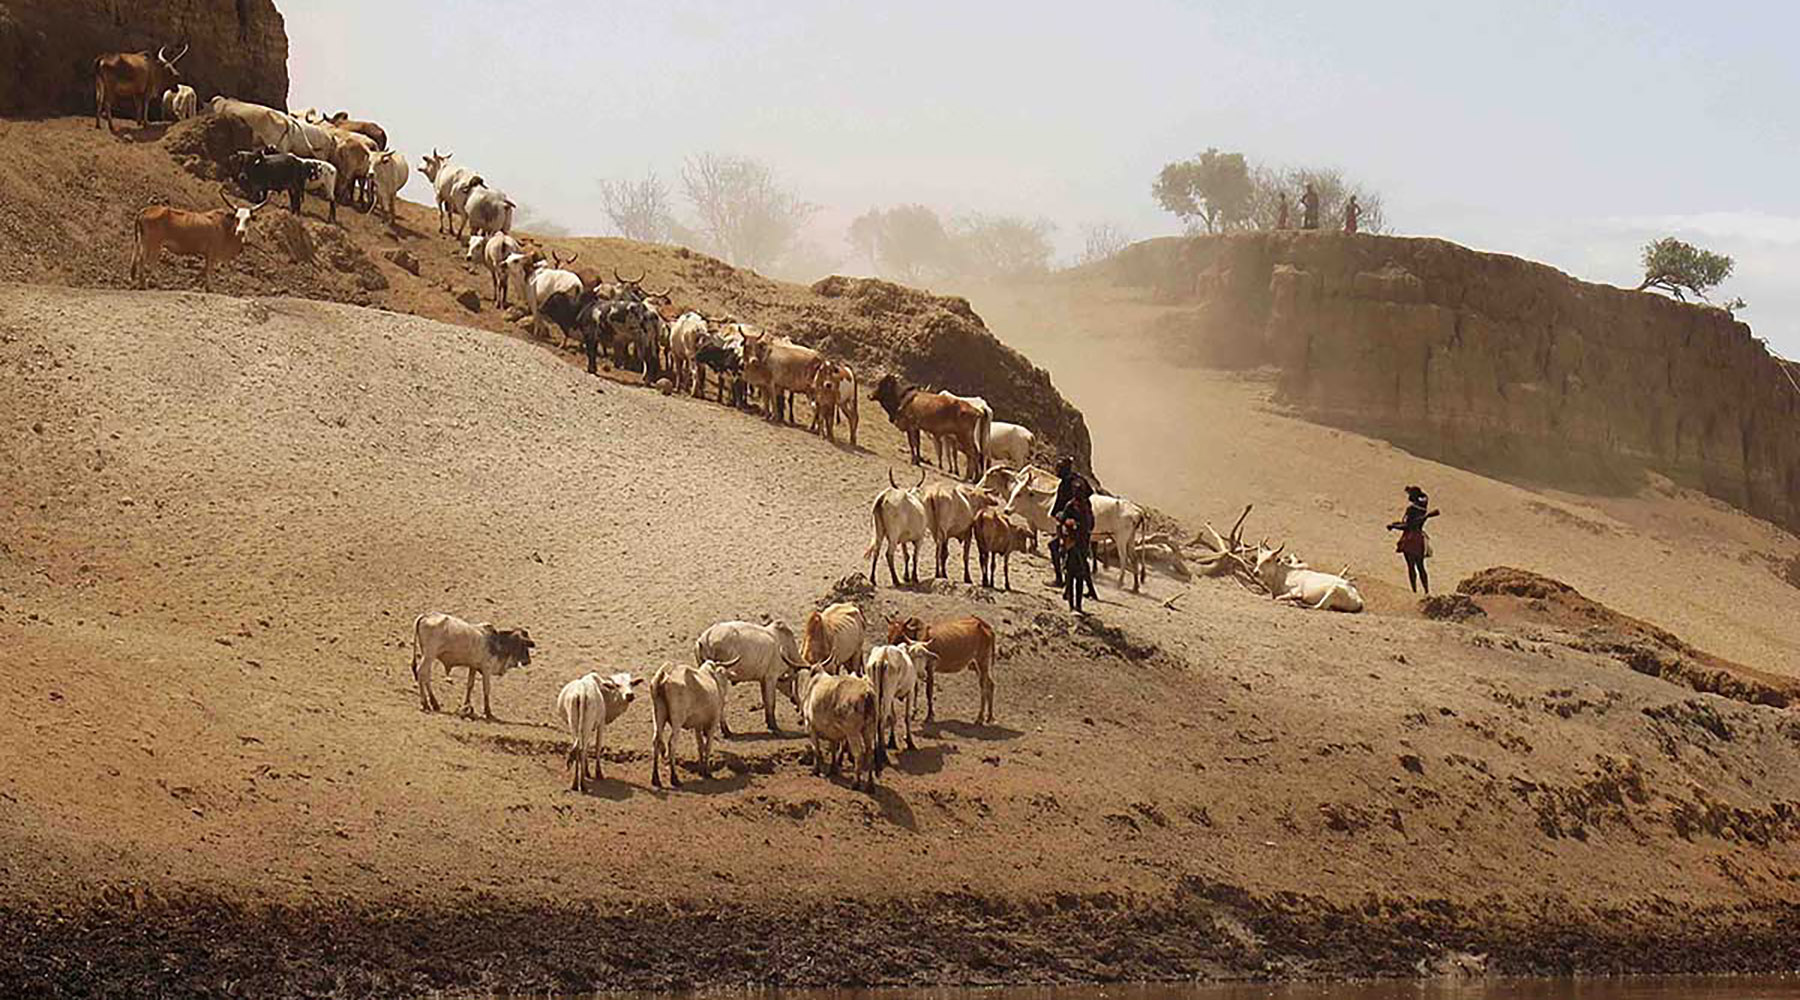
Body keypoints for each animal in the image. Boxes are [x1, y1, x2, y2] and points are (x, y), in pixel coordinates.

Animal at [130, 188, 269, 291]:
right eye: (237, 218)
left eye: (248, 219)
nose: (241, 231)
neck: (225, 228)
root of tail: (145, 210)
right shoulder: (212, 253)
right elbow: (209, 271)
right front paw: (210, 288)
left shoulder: (208, 254)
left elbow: (204, 271)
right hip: (152, 244)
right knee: (146, 261)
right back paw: (150, 284)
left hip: (145, 242)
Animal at [648, 659, 736, 788]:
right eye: (725, 676)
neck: (713, 678)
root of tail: (664, 673)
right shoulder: (713, 723)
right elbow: (707, 746)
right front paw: (707, 771)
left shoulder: (697, 725)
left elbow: (700, 746)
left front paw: (701, 769)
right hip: (677, 721)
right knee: (671, 743)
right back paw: (674, 779)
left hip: (658, 716)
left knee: (656, 741)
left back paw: (656, 779)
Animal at [1001, 466, 1147, 593]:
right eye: (1014, 492)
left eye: (1020, 494)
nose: (1006, 510)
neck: (1046, 504)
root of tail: (1137, 511)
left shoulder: (1058, 532)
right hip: (1130, 540)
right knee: (1134, 560)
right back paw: (1135, 587)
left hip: (1121, 539)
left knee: (1124, 559)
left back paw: (1120, 582)